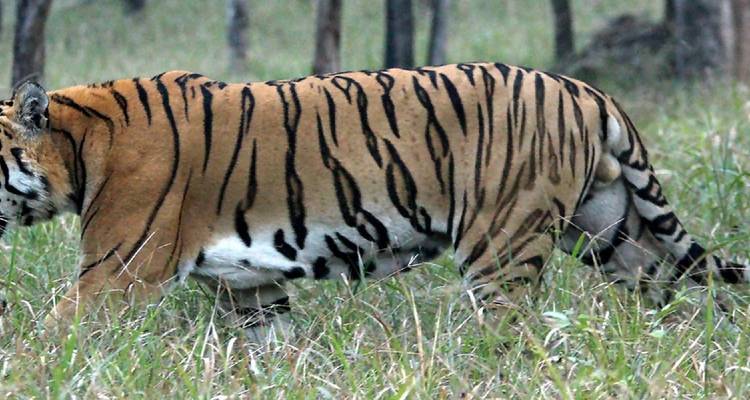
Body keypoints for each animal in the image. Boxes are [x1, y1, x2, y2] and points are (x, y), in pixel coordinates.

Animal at [0, 63, 746, 343]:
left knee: (516, 338)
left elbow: (49, 335)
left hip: (501, 250)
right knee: (680, 298)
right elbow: (273, 351)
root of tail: (586, 89)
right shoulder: (250, 290)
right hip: (616, 235)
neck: (78, 142)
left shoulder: (117, 272)